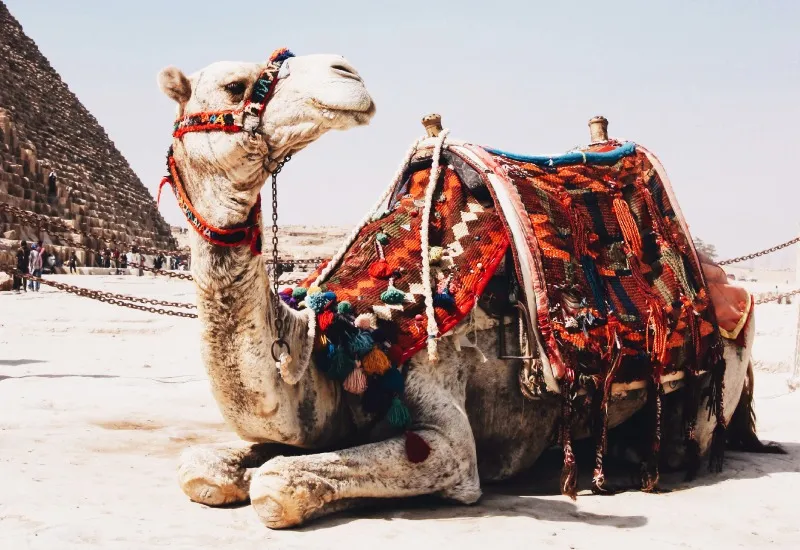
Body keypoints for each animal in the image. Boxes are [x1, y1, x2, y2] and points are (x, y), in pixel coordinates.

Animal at [156, 50, 776, 532]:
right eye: (234, 86)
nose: (346, 72)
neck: (345, 338)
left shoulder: (450, 438)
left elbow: (277, 485)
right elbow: (201, 468)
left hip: (718, 374)